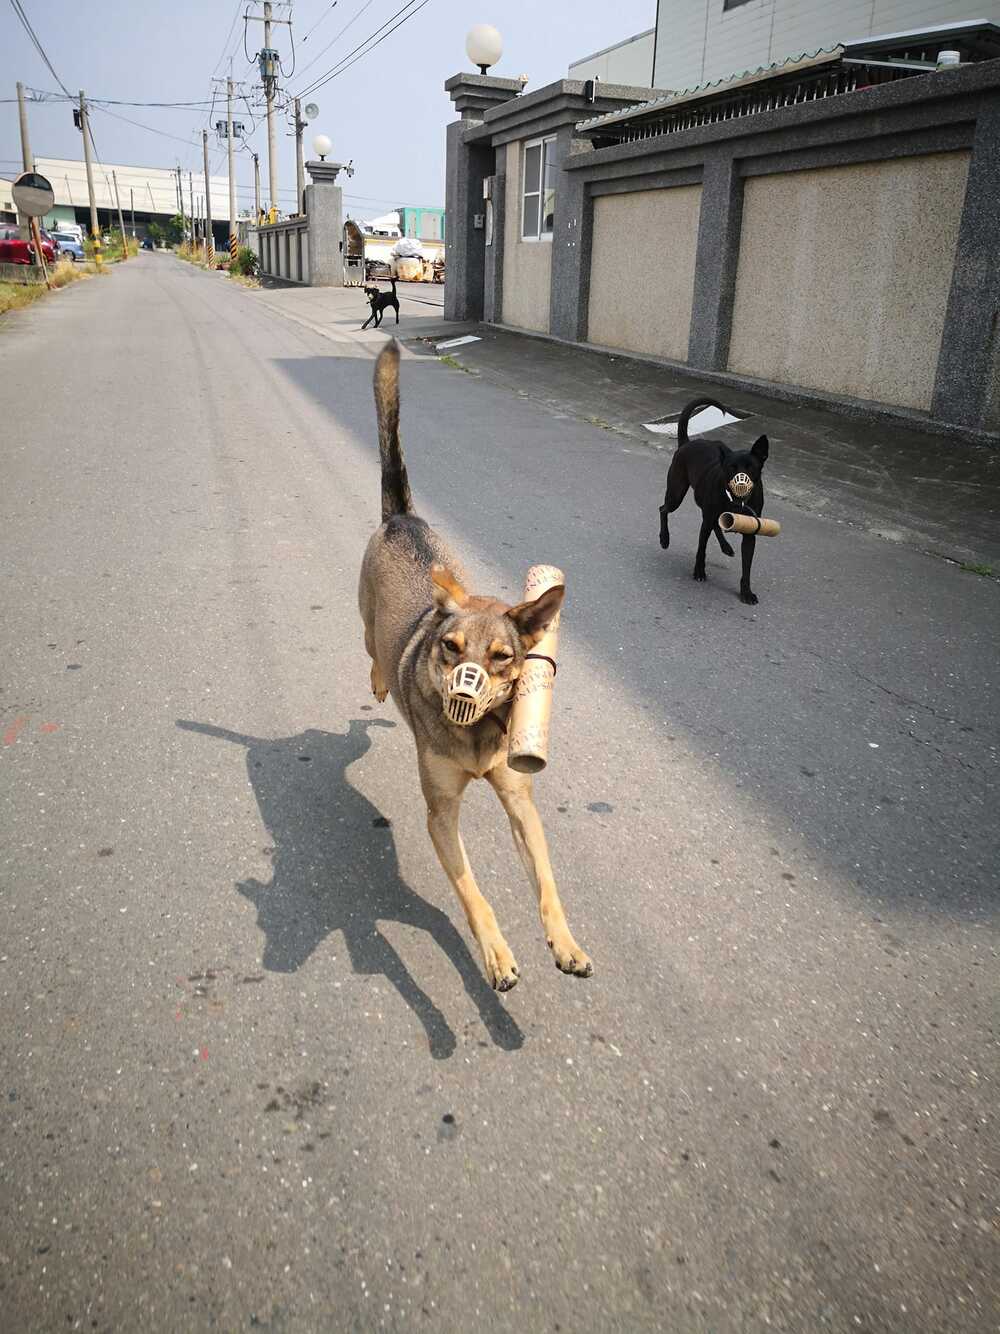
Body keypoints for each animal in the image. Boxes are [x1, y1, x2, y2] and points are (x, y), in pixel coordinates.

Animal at [360, 344, 592, 992]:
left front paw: (564, 943)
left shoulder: (520, 801)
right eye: (449, 647)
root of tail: (402, 520)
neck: (479, 733)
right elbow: (472, 892)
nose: (464, 693)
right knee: (370, 647)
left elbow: (547, 881)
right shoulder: (441, 815)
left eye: (503, 657)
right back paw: (379, 678)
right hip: (364, 615)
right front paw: (495, 955)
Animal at [661, 394, 773, 605]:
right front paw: (699, 572)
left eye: (751, 467)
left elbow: (747, 567)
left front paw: (746, 592)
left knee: (715, 523)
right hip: (676, 493)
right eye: (731, 467)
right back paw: (664, 538)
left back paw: (726, 547)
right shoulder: (706, 522)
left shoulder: (750, 534)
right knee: (663, 509)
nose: (740, 483)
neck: (736, 502)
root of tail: (686, 443)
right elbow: (701, 549)